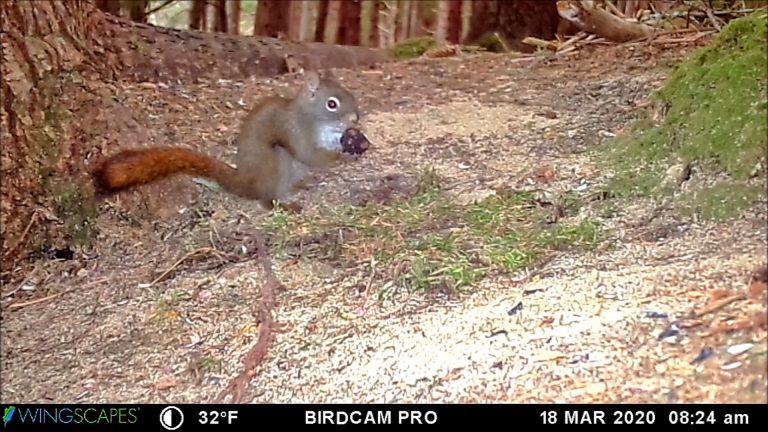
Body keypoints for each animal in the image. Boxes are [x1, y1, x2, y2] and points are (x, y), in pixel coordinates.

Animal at [90, 70, 367, 212]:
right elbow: (310, 154)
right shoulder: (296, 131)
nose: (355, 117)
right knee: (266, 199)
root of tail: (245, 182)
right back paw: (283, 204)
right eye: (332, 104)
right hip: (277, 162)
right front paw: (342, 157)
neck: (320, 124)